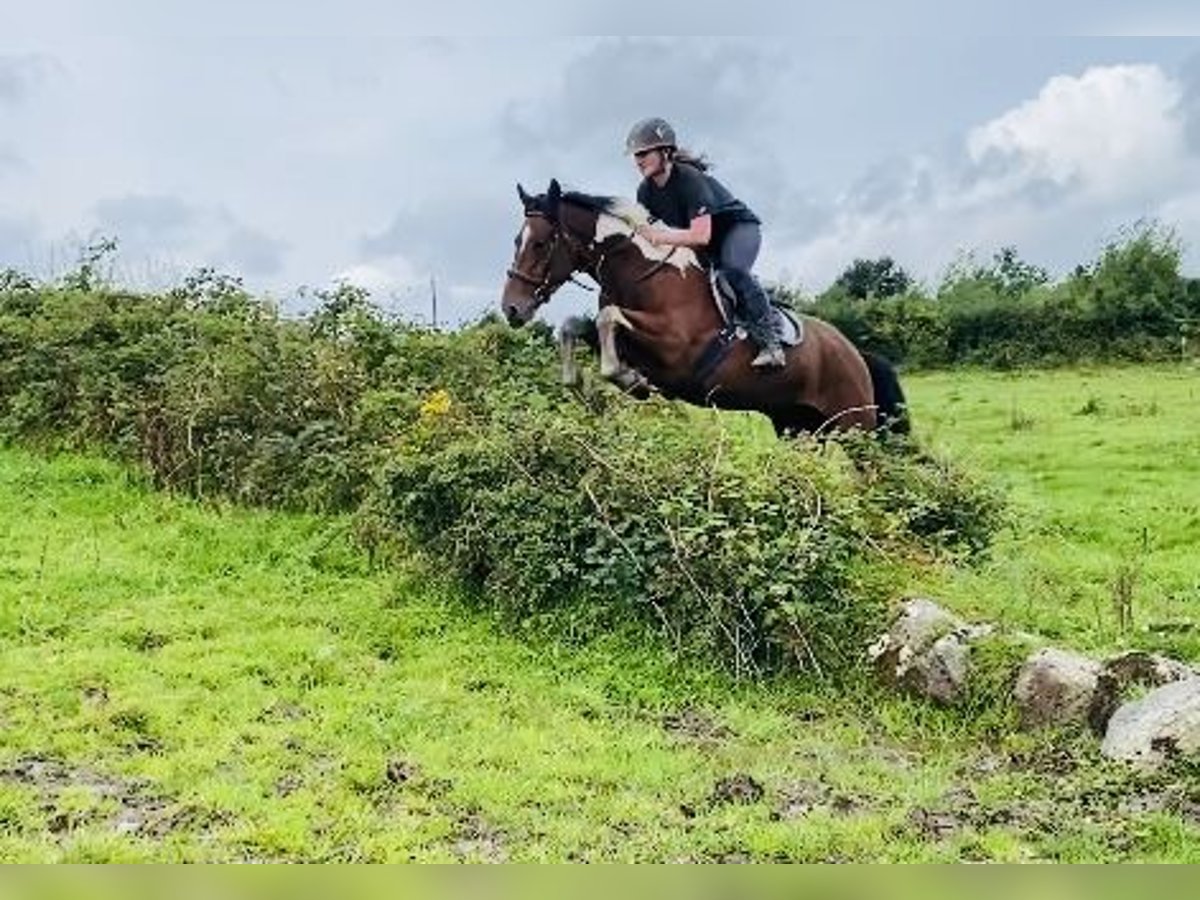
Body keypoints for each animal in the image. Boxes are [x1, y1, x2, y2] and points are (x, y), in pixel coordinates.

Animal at [499, 177, 907, 439]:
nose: (512, 309)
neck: (642, 273)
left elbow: (607, 318)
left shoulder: (676, 348)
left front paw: (628, 379)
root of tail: (855, 353)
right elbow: (575, 325)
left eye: (540, 243)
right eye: (516, 240)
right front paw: (584, 381)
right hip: (797, 426)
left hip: (854, 425)